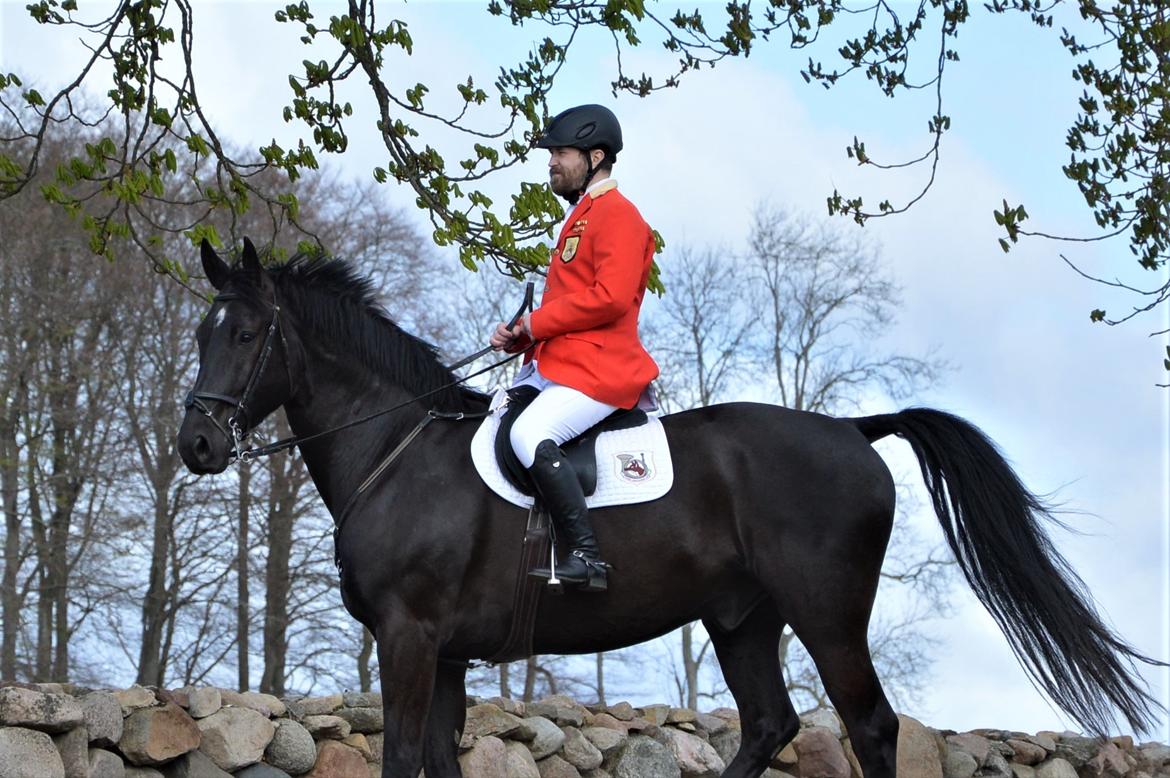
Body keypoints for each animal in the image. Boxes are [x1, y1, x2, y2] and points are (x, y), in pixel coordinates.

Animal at [177, 239, 1162, 778]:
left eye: (249, 334)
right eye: (199, 334)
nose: (198, 446)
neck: (399, 453)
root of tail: (852, 429)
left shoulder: (410, 638)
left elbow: (403, 758)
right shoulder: (445, 653)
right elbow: (437, 760)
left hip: (826, 612)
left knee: (871, 726)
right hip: (743, 619)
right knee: (771, 726)